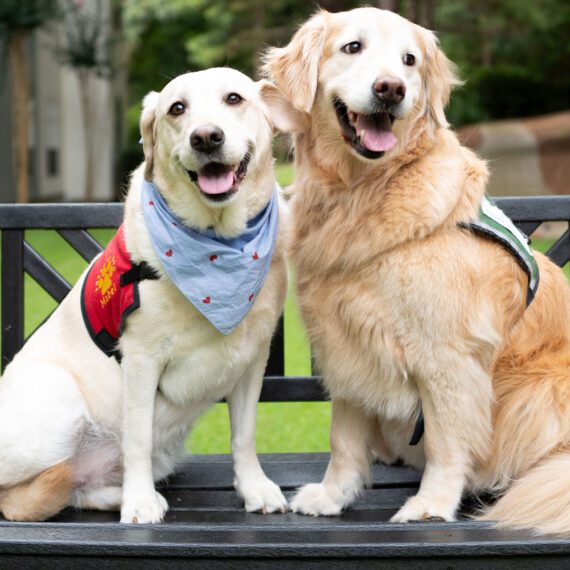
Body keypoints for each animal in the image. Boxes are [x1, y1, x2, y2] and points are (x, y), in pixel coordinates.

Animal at [0, 69, 290, 520]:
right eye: (177, 108)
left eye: (234, 98)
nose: (206, 137)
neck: (218, 245)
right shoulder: (140, 360)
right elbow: (137, 437)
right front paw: (138, 503)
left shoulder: (251, 358)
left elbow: (244, 435)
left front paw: (254, 488)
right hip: (58, 401)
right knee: (18, 495)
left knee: (72, 486)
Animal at [264, 6, 568, 532]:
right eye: (352, 47)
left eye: (410, 61)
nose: (391, 89)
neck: (362, 192)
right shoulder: (345, 344)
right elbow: (343, 439)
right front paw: (333, 495)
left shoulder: (448, 354)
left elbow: (447, 440)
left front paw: (430, 505)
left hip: (539, 391)